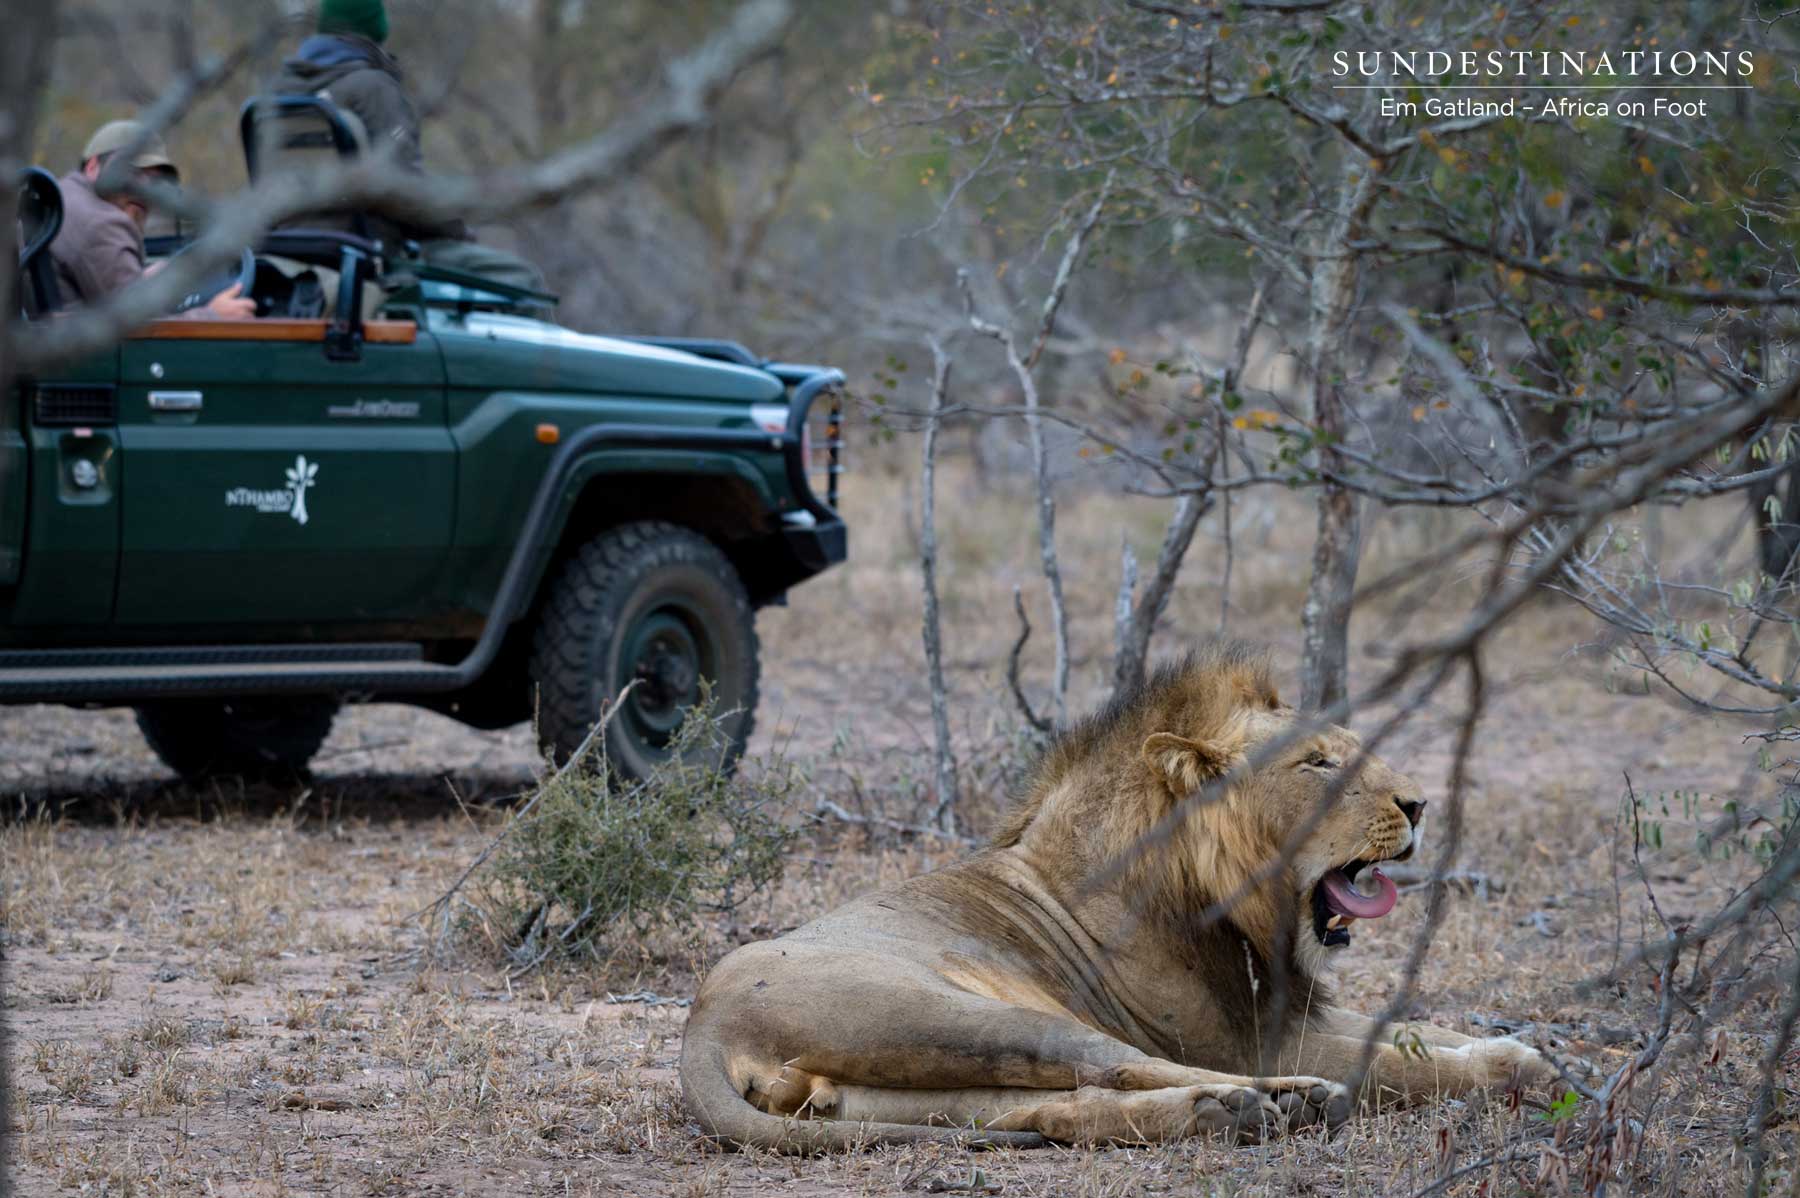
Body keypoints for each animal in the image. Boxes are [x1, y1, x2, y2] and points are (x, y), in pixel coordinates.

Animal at [680, 643, 1555, 1151]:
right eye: (1316, 763)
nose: (1419, 804)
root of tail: (702, 1026)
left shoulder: (1289, 1010)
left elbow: (1421, 1032)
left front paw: (1536, 1050)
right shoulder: (1251, 1040)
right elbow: (1404, 1065)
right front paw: (1520, 1066)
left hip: (883, 1089)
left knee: (1051, 1109)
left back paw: (1223, 1115)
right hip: (971, 1015)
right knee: (1121, 1068)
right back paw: (1279, 1102)